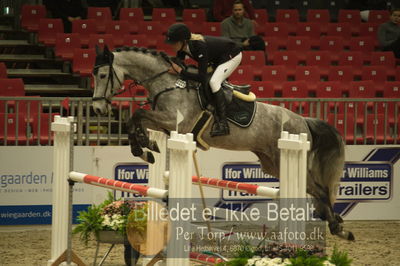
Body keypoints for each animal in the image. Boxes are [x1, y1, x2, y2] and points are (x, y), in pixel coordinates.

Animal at [90, 46, 354, 241]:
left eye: (102, 75)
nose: (97, 108)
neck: (167, 84)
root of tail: (303, 121)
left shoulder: (176, 123)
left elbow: (137, 115)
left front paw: (143, 148)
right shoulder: (166, 126)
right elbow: (137, 121)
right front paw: (147, 148)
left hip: (286, 158)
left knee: (320, 190)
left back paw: (339, 229)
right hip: (272, 164)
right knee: (317, 191)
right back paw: (334, 223)